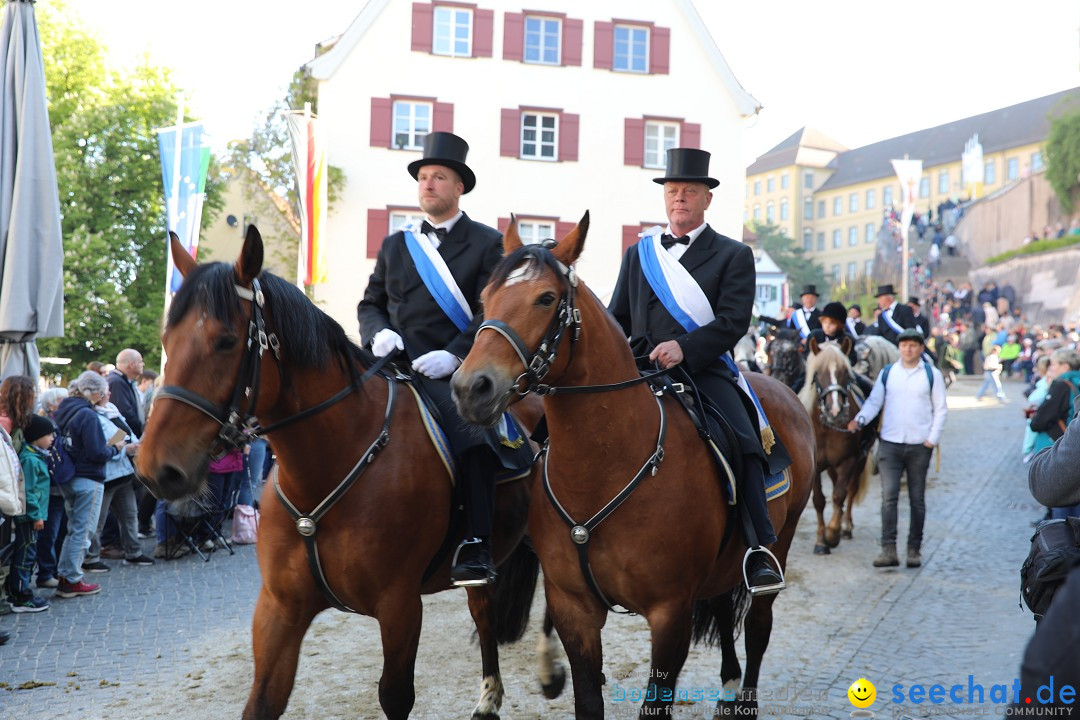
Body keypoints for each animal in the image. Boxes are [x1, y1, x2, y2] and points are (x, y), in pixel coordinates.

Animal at [137, 231, 548, 720]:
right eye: (166, 338)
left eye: (226, 341)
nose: (155, 468)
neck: (327, 465)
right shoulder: (278, 611)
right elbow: (262, 702)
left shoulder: (400, 608)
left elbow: (395, 697)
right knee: (484, 611)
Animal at [447, 218, 812, 720]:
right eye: (485, 297)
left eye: (546, 298)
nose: (470, 388)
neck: (603, 466)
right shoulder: (574, 608)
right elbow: (587, 699)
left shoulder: (670, 613)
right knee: (722, 607)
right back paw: (728, 689)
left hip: (779, 543)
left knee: (758, 626)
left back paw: (745, 700)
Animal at [799, 341, 872, 557]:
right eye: (817, 374)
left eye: (846, 373)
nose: (835, 412)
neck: (826, 428)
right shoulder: (816, 467)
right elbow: (819, 501)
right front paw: (820, 542)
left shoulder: (848, 460)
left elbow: (840, 495)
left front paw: (832, 534)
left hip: (860, 459)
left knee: (851, 489)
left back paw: (845, 527)